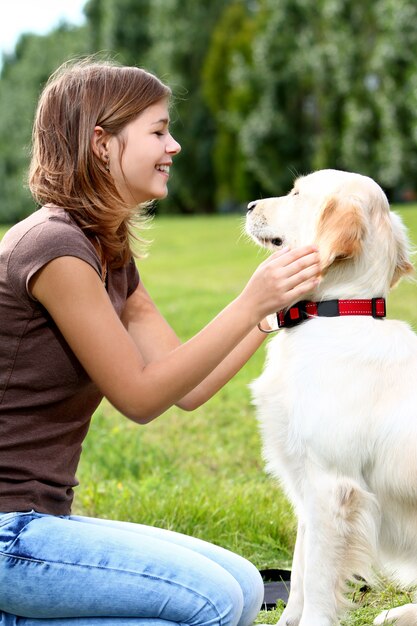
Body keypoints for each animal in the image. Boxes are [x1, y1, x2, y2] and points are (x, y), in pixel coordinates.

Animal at [245, 169, 414, 624]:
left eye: (297, 194)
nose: (248, 206)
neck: (338, 311)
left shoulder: (331, 487)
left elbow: (318, 584)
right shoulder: (307, 488)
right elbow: (300, 574)